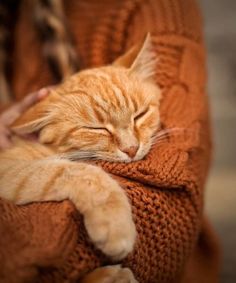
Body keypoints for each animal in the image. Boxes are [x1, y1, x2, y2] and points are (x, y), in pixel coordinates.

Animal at [0, 34, 160, 282]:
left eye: (140, 115)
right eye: (96, 129)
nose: (132, 149)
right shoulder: (9, 168)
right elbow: (78, 171)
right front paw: (115, 225)